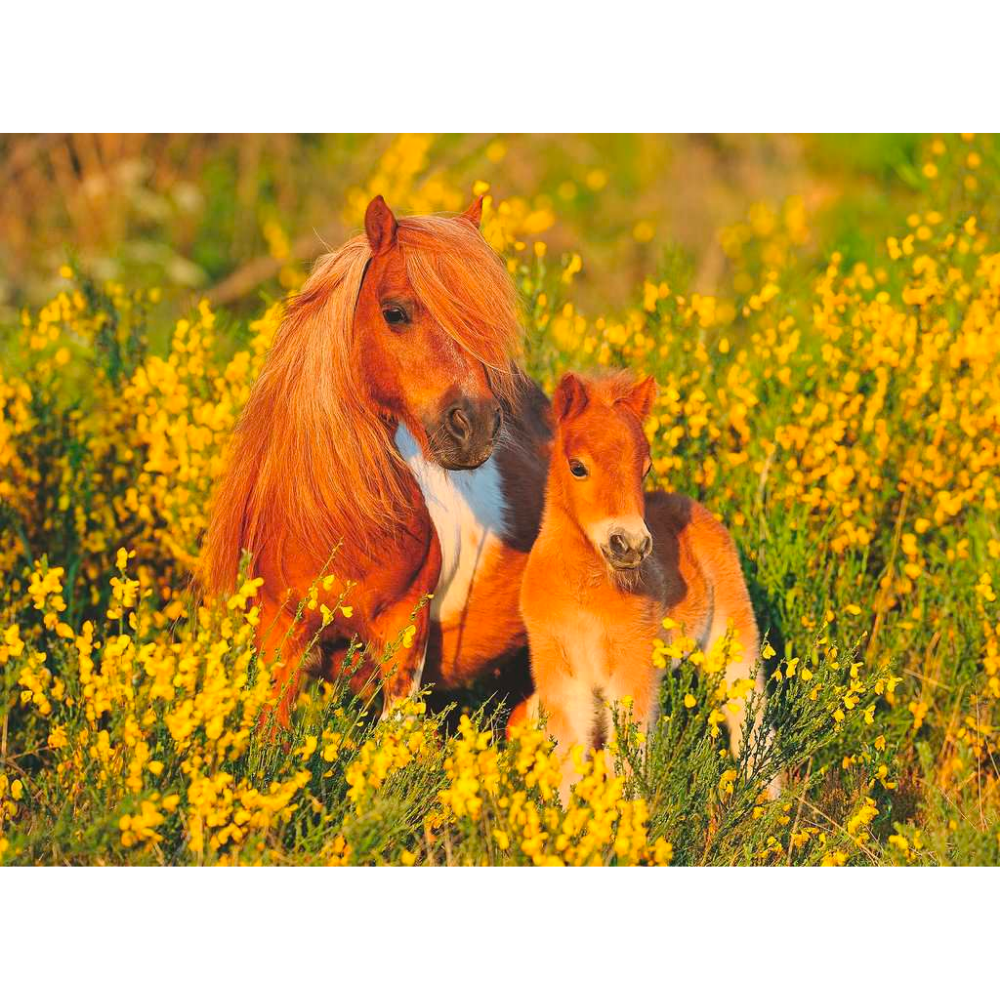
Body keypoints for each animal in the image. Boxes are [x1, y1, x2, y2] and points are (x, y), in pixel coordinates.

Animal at [513, 371, 767, 800]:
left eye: (644, 469)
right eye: (577, 467)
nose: (629, 545)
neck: (584, 593)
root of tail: (692, 504)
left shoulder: (632, 666)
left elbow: (627, 762)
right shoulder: (559, 670)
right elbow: (568, 758)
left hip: (732, 632)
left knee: (751, 712)